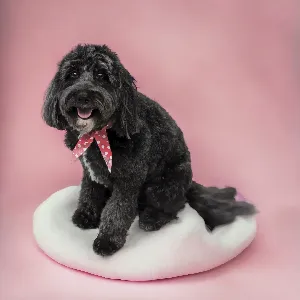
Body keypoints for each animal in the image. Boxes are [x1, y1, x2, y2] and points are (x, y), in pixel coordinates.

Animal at [41, 44, 255, 255]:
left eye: (101, 75)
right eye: (73, 73)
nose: (83, 96)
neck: (99, 133)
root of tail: (189, 185)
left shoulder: (128, 180)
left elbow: (118, 210)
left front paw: (107, 241)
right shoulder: (91, 171)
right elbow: (89, 192)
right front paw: (86, 216)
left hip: (164, 184)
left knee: (174, 206)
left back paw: (151, 218)